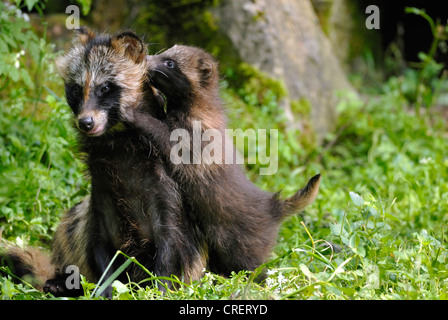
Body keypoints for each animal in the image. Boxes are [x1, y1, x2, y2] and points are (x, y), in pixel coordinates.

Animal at [1, 30, 204, 298]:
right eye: (76, 90)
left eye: (106, 88)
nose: (85, 123)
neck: (117, 141)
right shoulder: (102, 191)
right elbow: (98, 246)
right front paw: (103, 290)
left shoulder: (167, 190)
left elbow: (170, 245)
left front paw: (159, 289)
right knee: (71, 223)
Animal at [124, 45, 322, 278]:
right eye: (166, 50)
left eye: (170, 63)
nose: (146, 59)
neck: (201, 113)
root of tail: (273, 207)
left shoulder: (187, 140)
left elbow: (157, 130)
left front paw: (130, 112)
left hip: (243, 250)